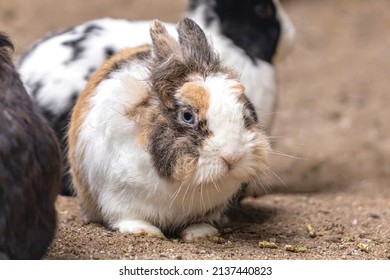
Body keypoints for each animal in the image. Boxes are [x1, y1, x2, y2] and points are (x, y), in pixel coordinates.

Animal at [68, 18, 272, 241]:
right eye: (187, 116)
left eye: (244, 112)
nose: (232, 156)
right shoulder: (116, 196)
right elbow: (126, 217)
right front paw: (145, 231)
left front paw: (200, 233)